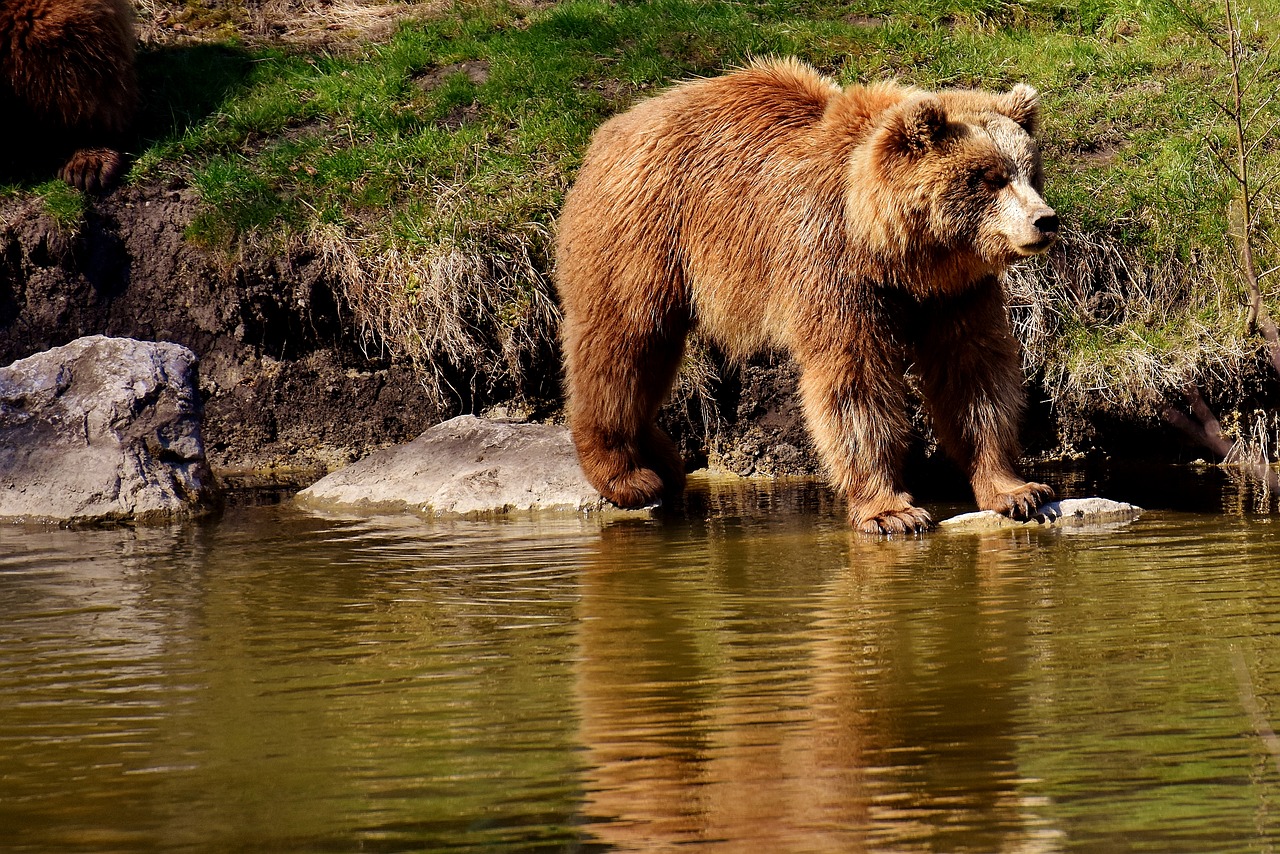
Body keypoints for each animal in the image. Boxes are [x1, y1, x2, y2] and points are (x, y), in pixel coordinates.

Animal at [555, 56, 1054, 530]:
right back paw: (625, 475)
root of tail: (608, 131)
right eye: (988, 177)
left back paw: (663, 461)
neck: (896, 253)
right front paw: (892, 510)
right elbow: (854, 380)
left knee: (649, 358)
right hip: (644, 234)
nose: (1044, 220)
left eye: (1030, 172)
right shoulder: (830, 265)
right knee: (623, 345)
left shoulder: (955, 291)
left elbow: (973, 373)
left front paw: (1017, 490)